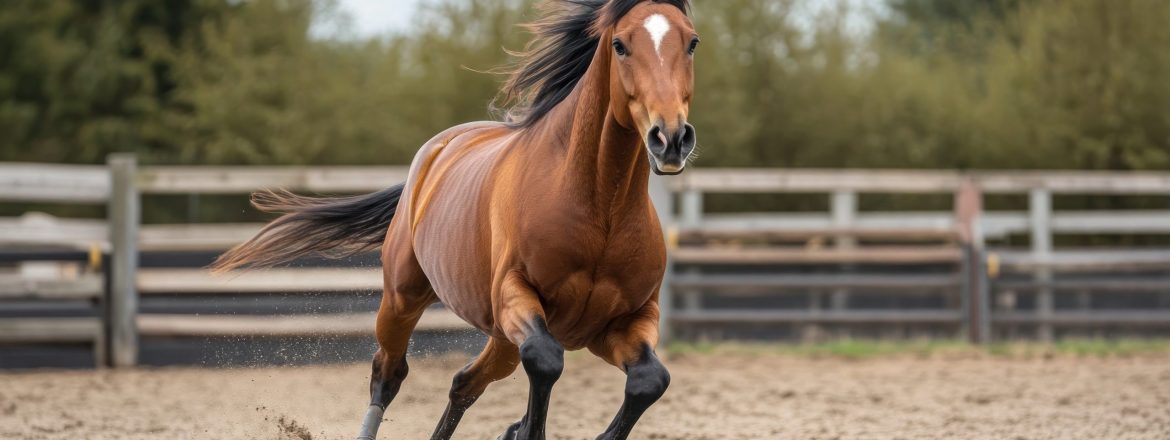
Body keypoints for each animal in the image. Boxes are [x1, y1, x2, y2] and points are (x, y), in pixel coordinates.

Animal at [211, 1, 698, 438]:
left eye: (692, 42)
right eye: (620, 45)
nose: (671, 138)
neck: (599, 211)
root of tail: (433, 154)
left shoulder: (625, 322)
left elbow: (649, 380)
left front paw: (519, 429)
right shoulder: (517, 295)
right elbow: (546, 360)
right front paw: (523, 430)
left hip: (501, 339)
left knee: (465, 383)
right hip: (404, 297)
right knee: (389, 374)